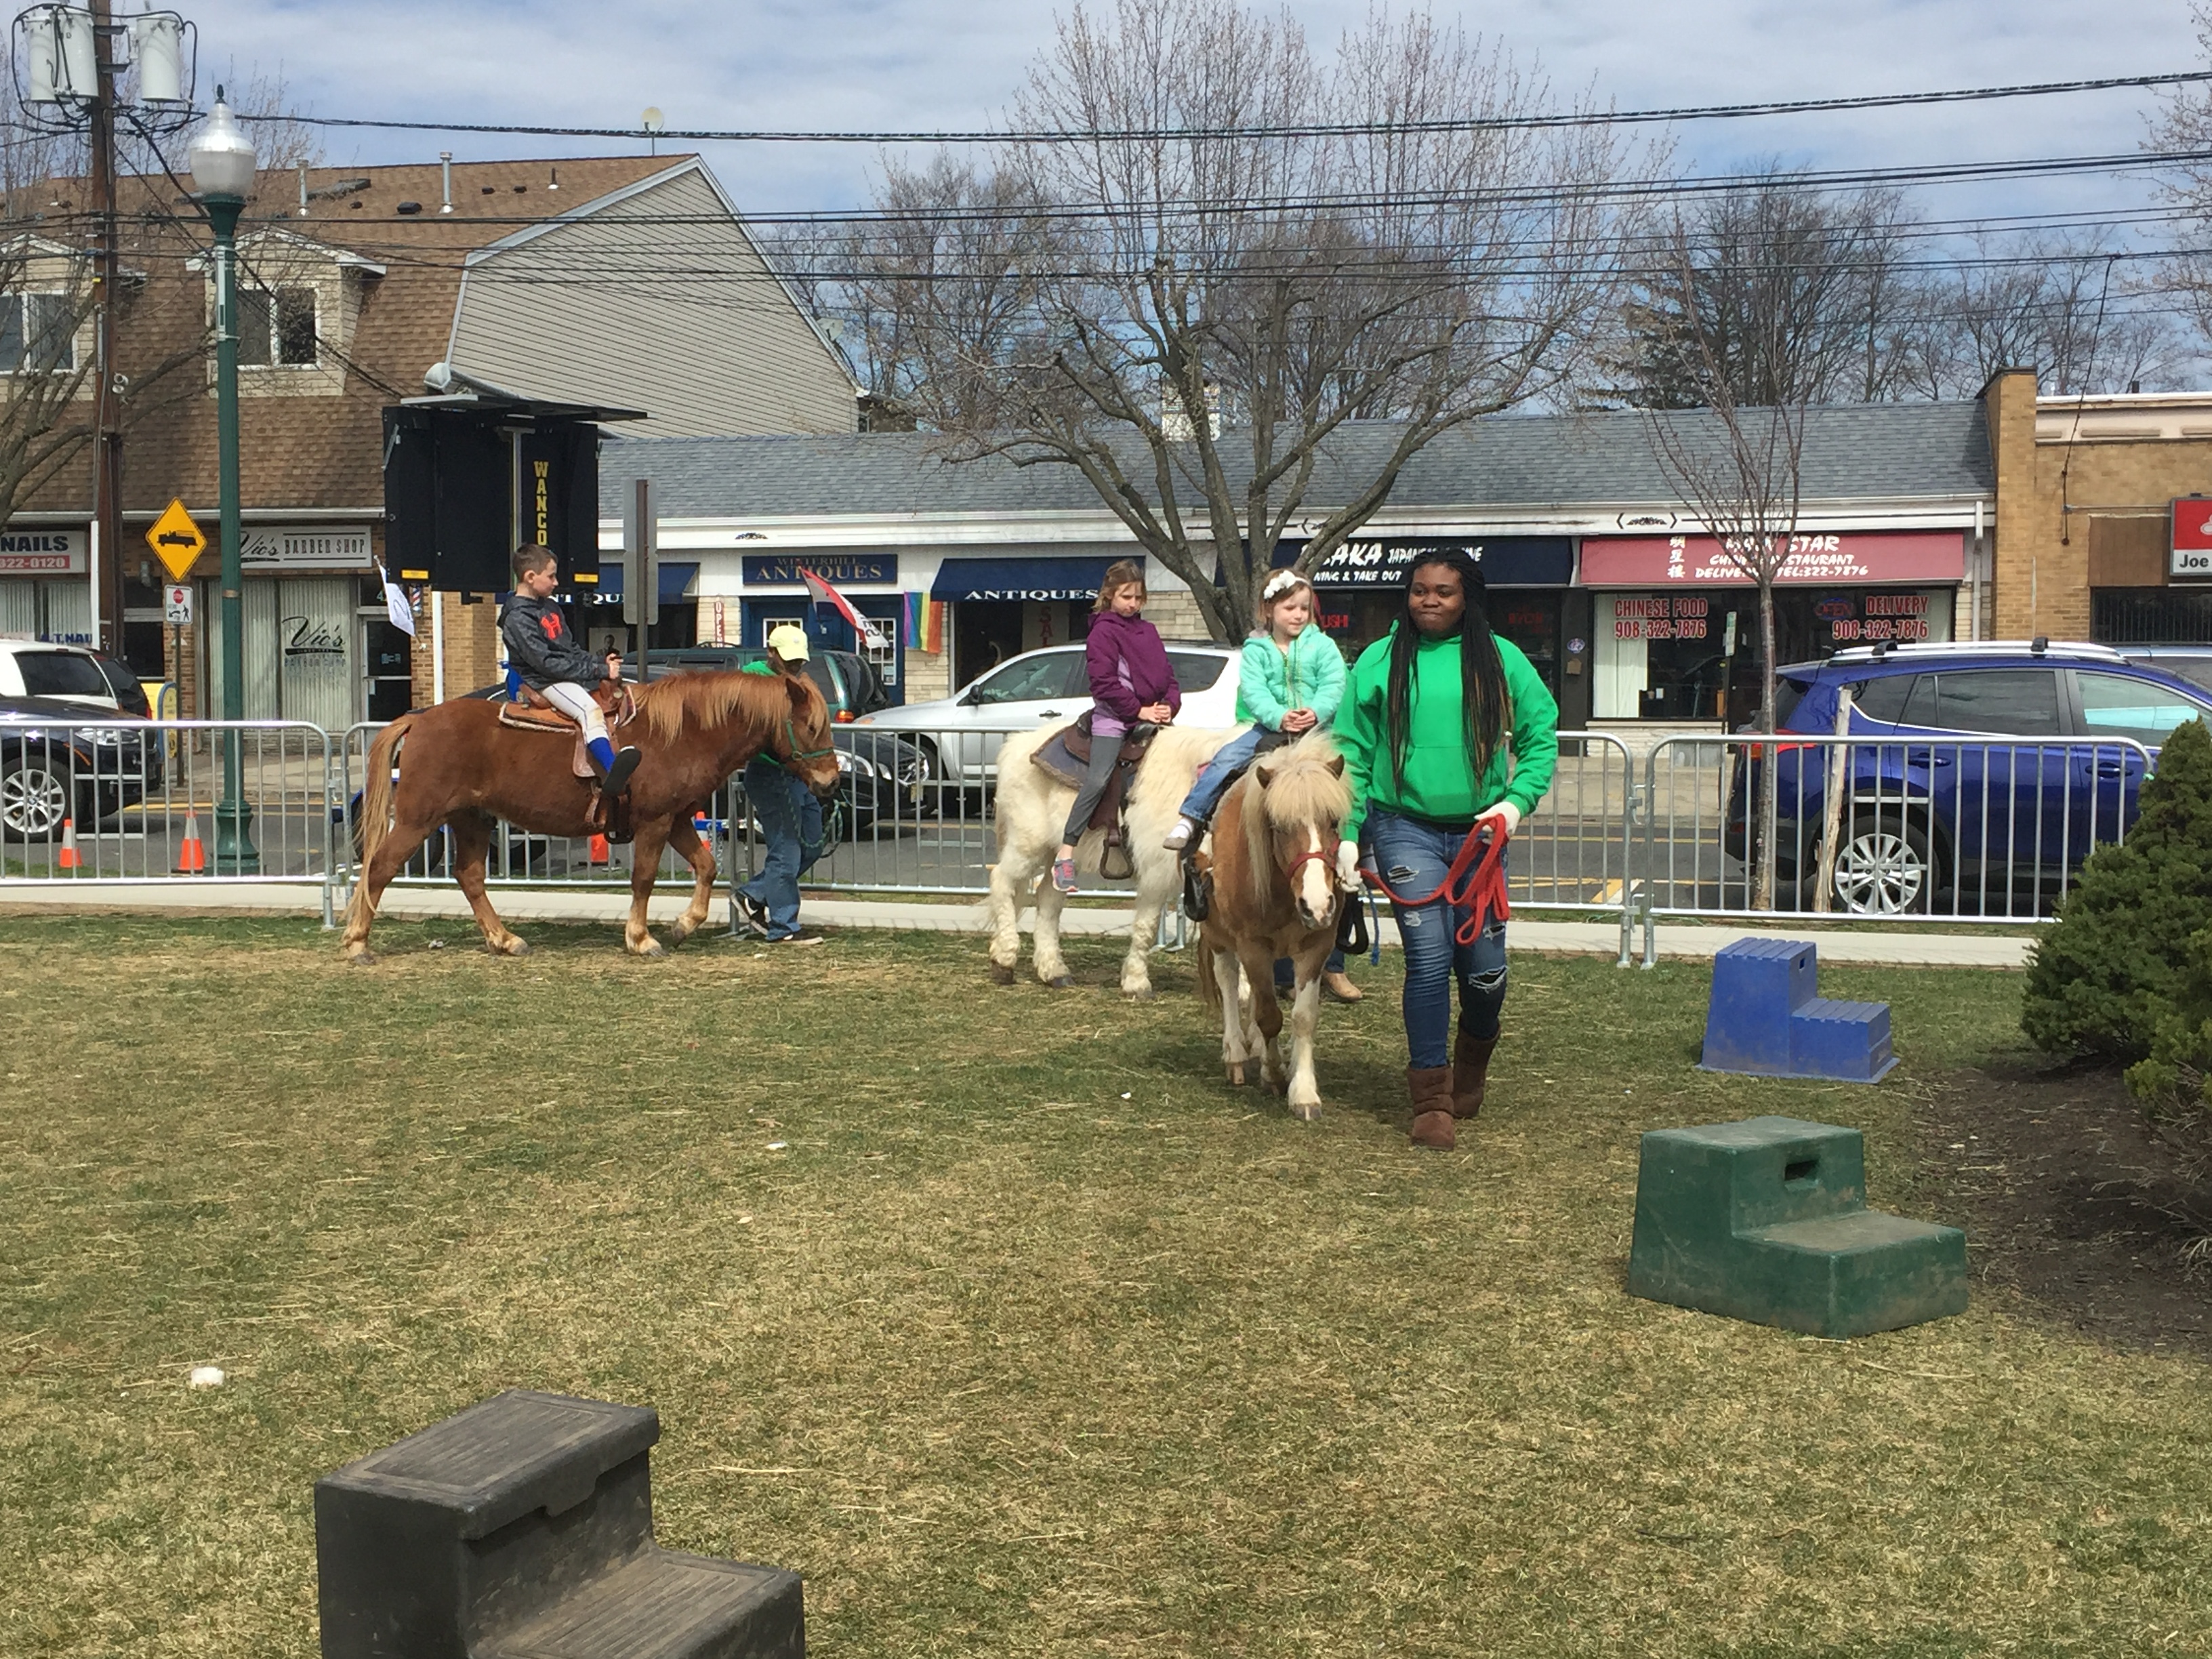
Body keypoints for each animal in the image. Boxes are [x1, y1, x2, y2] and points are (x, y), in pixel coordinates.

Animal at [340, 672, 840, 968]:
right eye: (812, 726)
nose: (832, 782)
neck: (682, 733)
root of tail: (419, 718)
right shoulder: (655, 823)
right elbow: (644, 879)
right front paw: (641, 938)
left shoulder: (677, 820)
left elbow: (707, 867)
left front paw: (684, 925)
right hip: (417, 819)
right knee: (380, 868)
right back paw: (358, 941)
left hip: (471, 819)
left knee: (469, 877)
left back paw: (504, 939)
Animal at [991, 730, 1238, 1000]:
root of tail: (1018, 742)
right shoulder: (1156, 872)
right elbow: (1147, 925)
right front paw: (1137, 983)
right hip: (1028, 845)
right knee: (1002, 880)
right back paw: (1004, 960)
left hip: (1059, 854)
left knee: (1048, 898)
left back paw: (1054, 971)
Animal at [1194, 734, 1345, 1124]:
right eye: (1278, 825)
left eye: (1334, 821)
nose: (1317, 905)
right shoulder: (1252, 946)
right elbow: (1269, 1016)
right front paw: (1273, 1074)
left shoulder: (1316, 946)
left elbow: (1303, 1018)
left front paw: (1303, 1090)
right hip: (1219, 936)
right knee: (1229, 981)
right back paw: (1235, 1053)